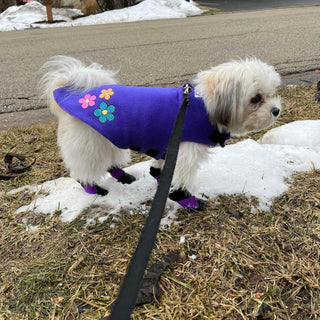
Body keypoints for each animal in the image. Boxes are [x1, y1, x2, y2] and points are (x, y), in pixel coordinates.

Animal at [39, 55, 280, 210]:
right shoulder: (186, 151)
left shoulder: (168, 147)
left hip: (109, 139)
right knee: (84, 170)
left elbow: (159, 170)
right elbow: (180, 183)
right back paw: (94, 189)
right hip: (89, 144)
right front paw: (189, 202)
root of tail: (69, 94)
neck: (204, 107)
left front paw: (159, 177)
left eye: (272, 93)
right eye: (256, 99)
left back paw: (123, 176)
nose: (277, 110)